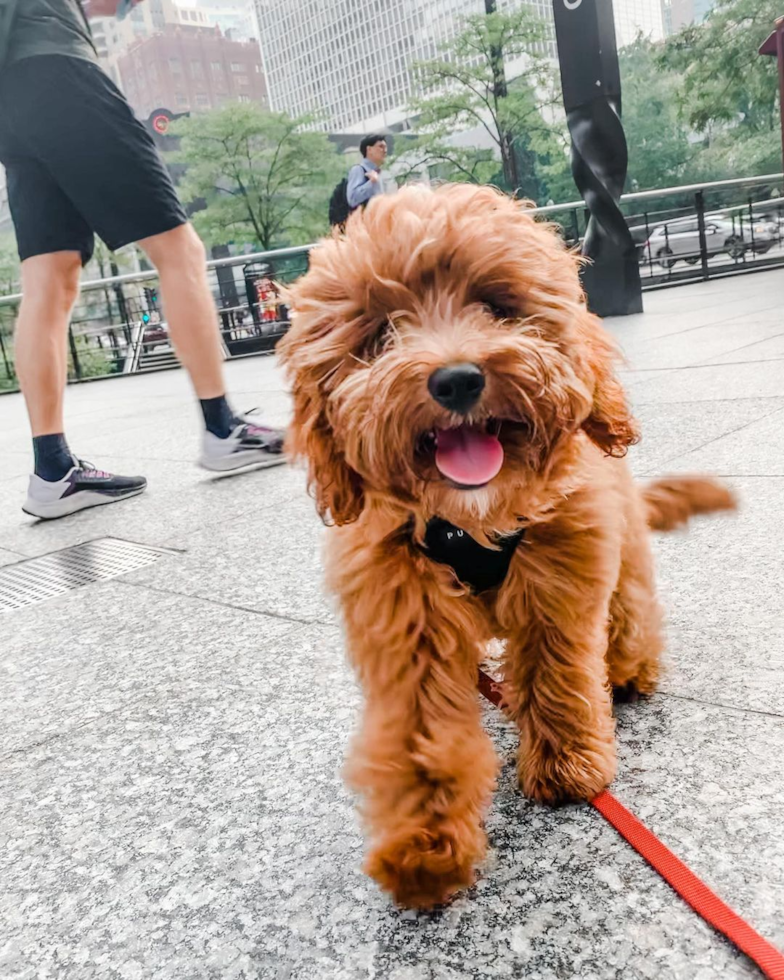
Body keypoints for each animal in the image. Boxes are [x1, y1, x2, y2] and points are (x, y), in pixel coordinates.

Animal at [278, 184, 736, 912]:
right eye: (378, 334)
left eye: (496, 304)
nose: (457, 380)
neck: (473, 519)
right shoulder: (405, 620)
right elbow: (422, 735)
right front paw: (426, 846)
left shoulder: (564, 576)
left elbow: (558, 671)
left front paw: (568, 765)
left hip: (622, 544)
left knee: (630, 609)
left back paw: (630, 668)